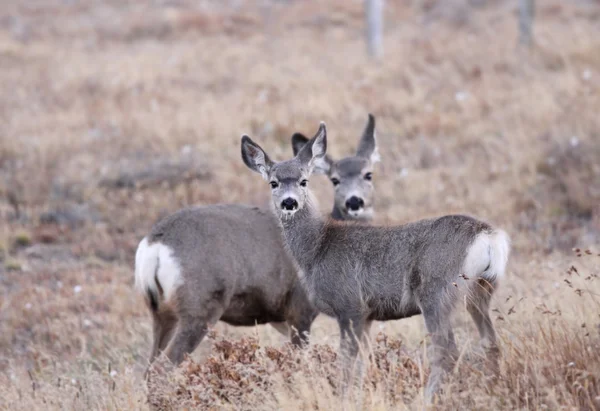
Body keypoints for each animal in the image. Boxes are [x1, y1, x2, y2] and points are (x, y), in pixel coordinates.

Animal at [134, 119, 382, 374]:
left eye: (368, 174)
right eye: (335, 179)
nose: (354, 202)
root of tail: (155, 245)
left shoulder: (278, 317)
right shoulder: (300, 308)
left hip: (162, 313)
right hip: (199, 306)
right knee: (161, 367)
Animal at [240, 121, 510, 402]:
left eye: (304, 180)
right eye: (273, 183)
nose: (289, 202)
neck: (318, 248)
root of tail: (488, 236)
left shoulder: (350, 305)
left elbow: (347, 364)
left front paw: (344, 399)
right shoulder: (368, 315)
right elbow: (362, 364)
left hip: (437, 290)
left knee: (447, 352)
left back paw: (424, 400)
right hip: (480, 290)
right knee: (491, 343)